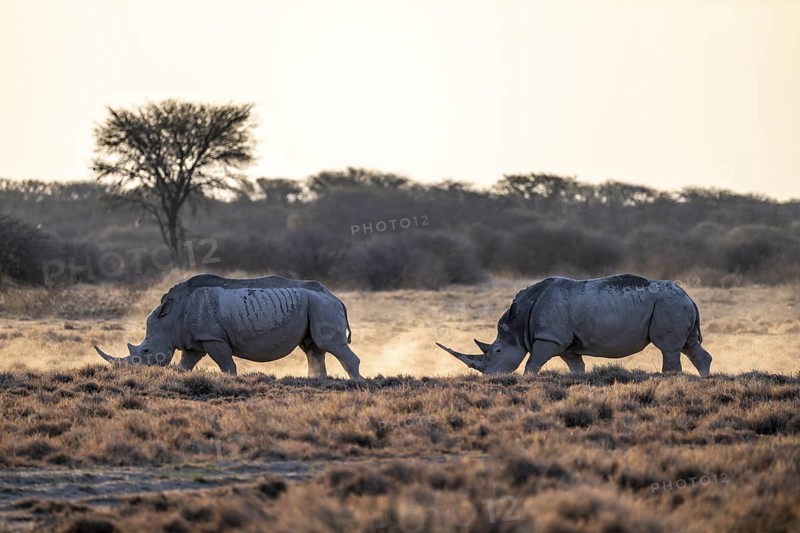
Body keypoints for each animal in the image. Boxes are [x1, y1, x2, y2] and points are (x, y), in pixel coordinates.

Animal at [95, 274, 362, 378]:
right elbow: (185, 364)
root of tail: (335, 296)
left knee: (331, 345)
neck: (169, 319)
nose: (135, 372)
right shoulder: (195, 340)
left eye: (146, 351)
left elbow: (226, 364)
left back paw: (356, 382)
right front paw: (182, 376)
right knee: (313, 349)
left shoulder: (212, 337)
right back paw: (318, 381)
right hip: (314, 305)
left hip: (322, 305)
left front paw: (231, 379)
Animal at [437, 274, 712, 376]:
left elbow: (533, 363)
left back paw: (670, 378)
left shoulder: (548, 337)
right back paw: (703, 378)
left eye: (497, 351)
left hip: (669, 304)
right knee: (688, 346)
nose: (490, 377)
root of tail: (689, 296)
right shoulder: (564, 342)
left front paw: (528, 379)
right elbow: (576, 365)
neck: (519, 322)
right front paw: (577, 378)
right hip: (674, 304)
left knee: (668, 347)